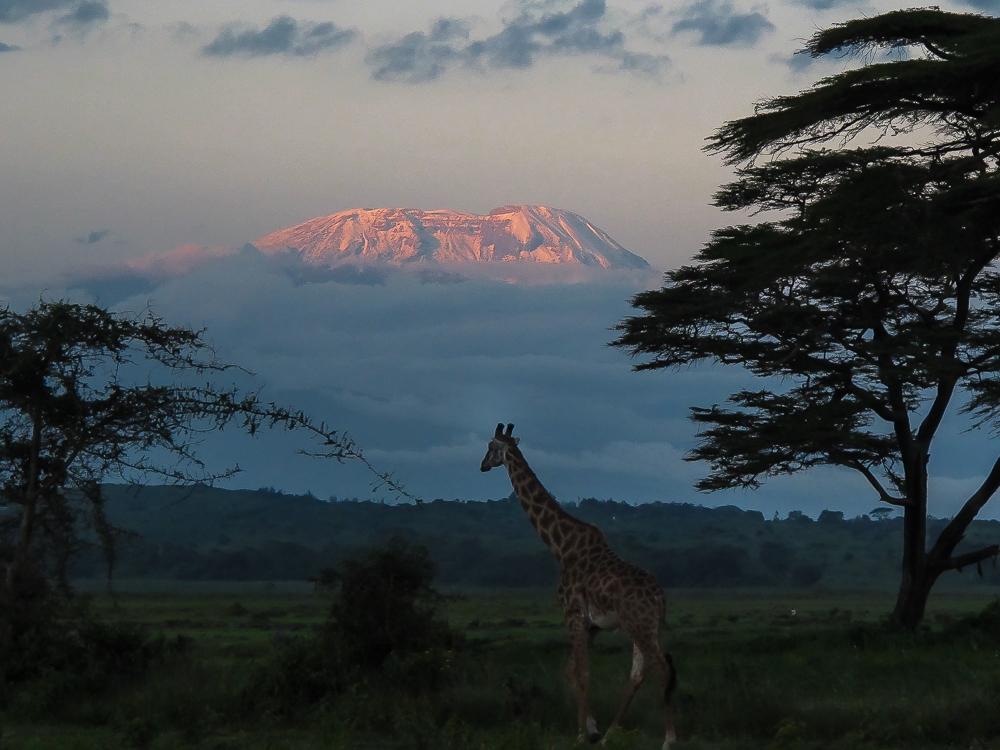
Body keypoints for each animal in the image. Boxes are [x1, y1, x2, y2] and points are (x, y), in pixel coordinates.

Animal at [480, 426, 676, 748]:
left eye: (490, 446)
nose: (483, 465)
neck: (560, 546)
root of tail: (660, 598)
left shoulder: (571, 613)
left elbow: (582, 673)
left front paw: (584, 733)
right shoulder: (590, 624)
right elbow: (571, 671)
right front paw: (593, 729)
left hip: (638, 625)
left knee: (661, 668)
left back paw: (668, 739)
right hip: (646, 627)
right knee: (638, 674)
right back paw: (611, 734)